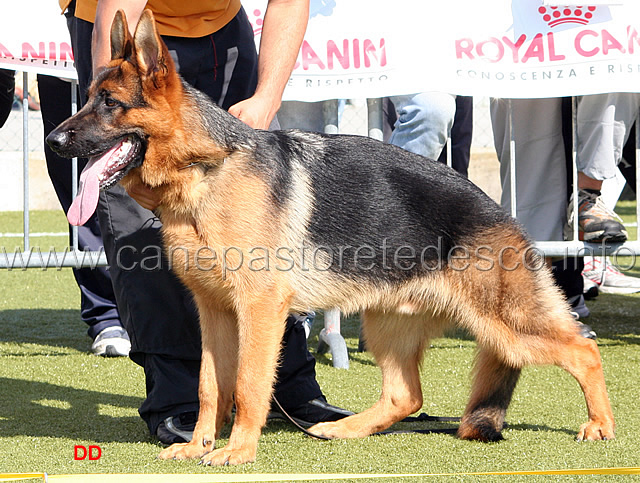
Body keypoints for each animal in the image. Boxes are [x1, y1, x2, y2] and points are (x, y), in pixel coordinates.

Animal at [46, 10, 616, 466]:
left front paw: (238, 450)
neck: (206, 168)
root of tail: (502, 213)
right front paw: (199, 445)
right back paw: (342, 429)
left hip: (504, 324)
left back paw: (600, 425)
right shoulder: (215, 313)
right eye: (88, 98)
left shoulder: (259, 311)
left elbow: (248, 384)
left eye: (110, 103)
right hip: (389, 322)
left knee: (584, 350)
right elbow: (211, 386)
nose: (53, 140)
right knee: (405, 396)